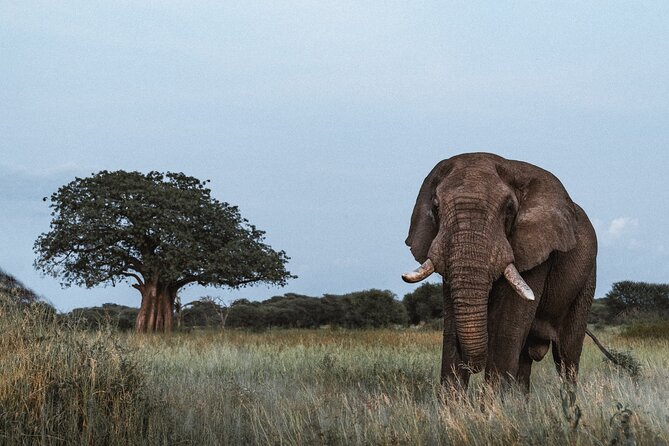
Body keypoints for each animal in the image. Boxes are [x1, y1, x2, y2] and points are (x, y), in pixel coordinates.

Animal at [402, 153, 597, 393]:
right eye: (436, 207)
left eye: (510, 209)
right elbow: (451, 328)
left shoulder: (536, 250)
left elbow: (507, 328)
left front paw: (492, 403)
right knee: (525, 360)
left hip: (587, 280)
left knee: (566, 355)